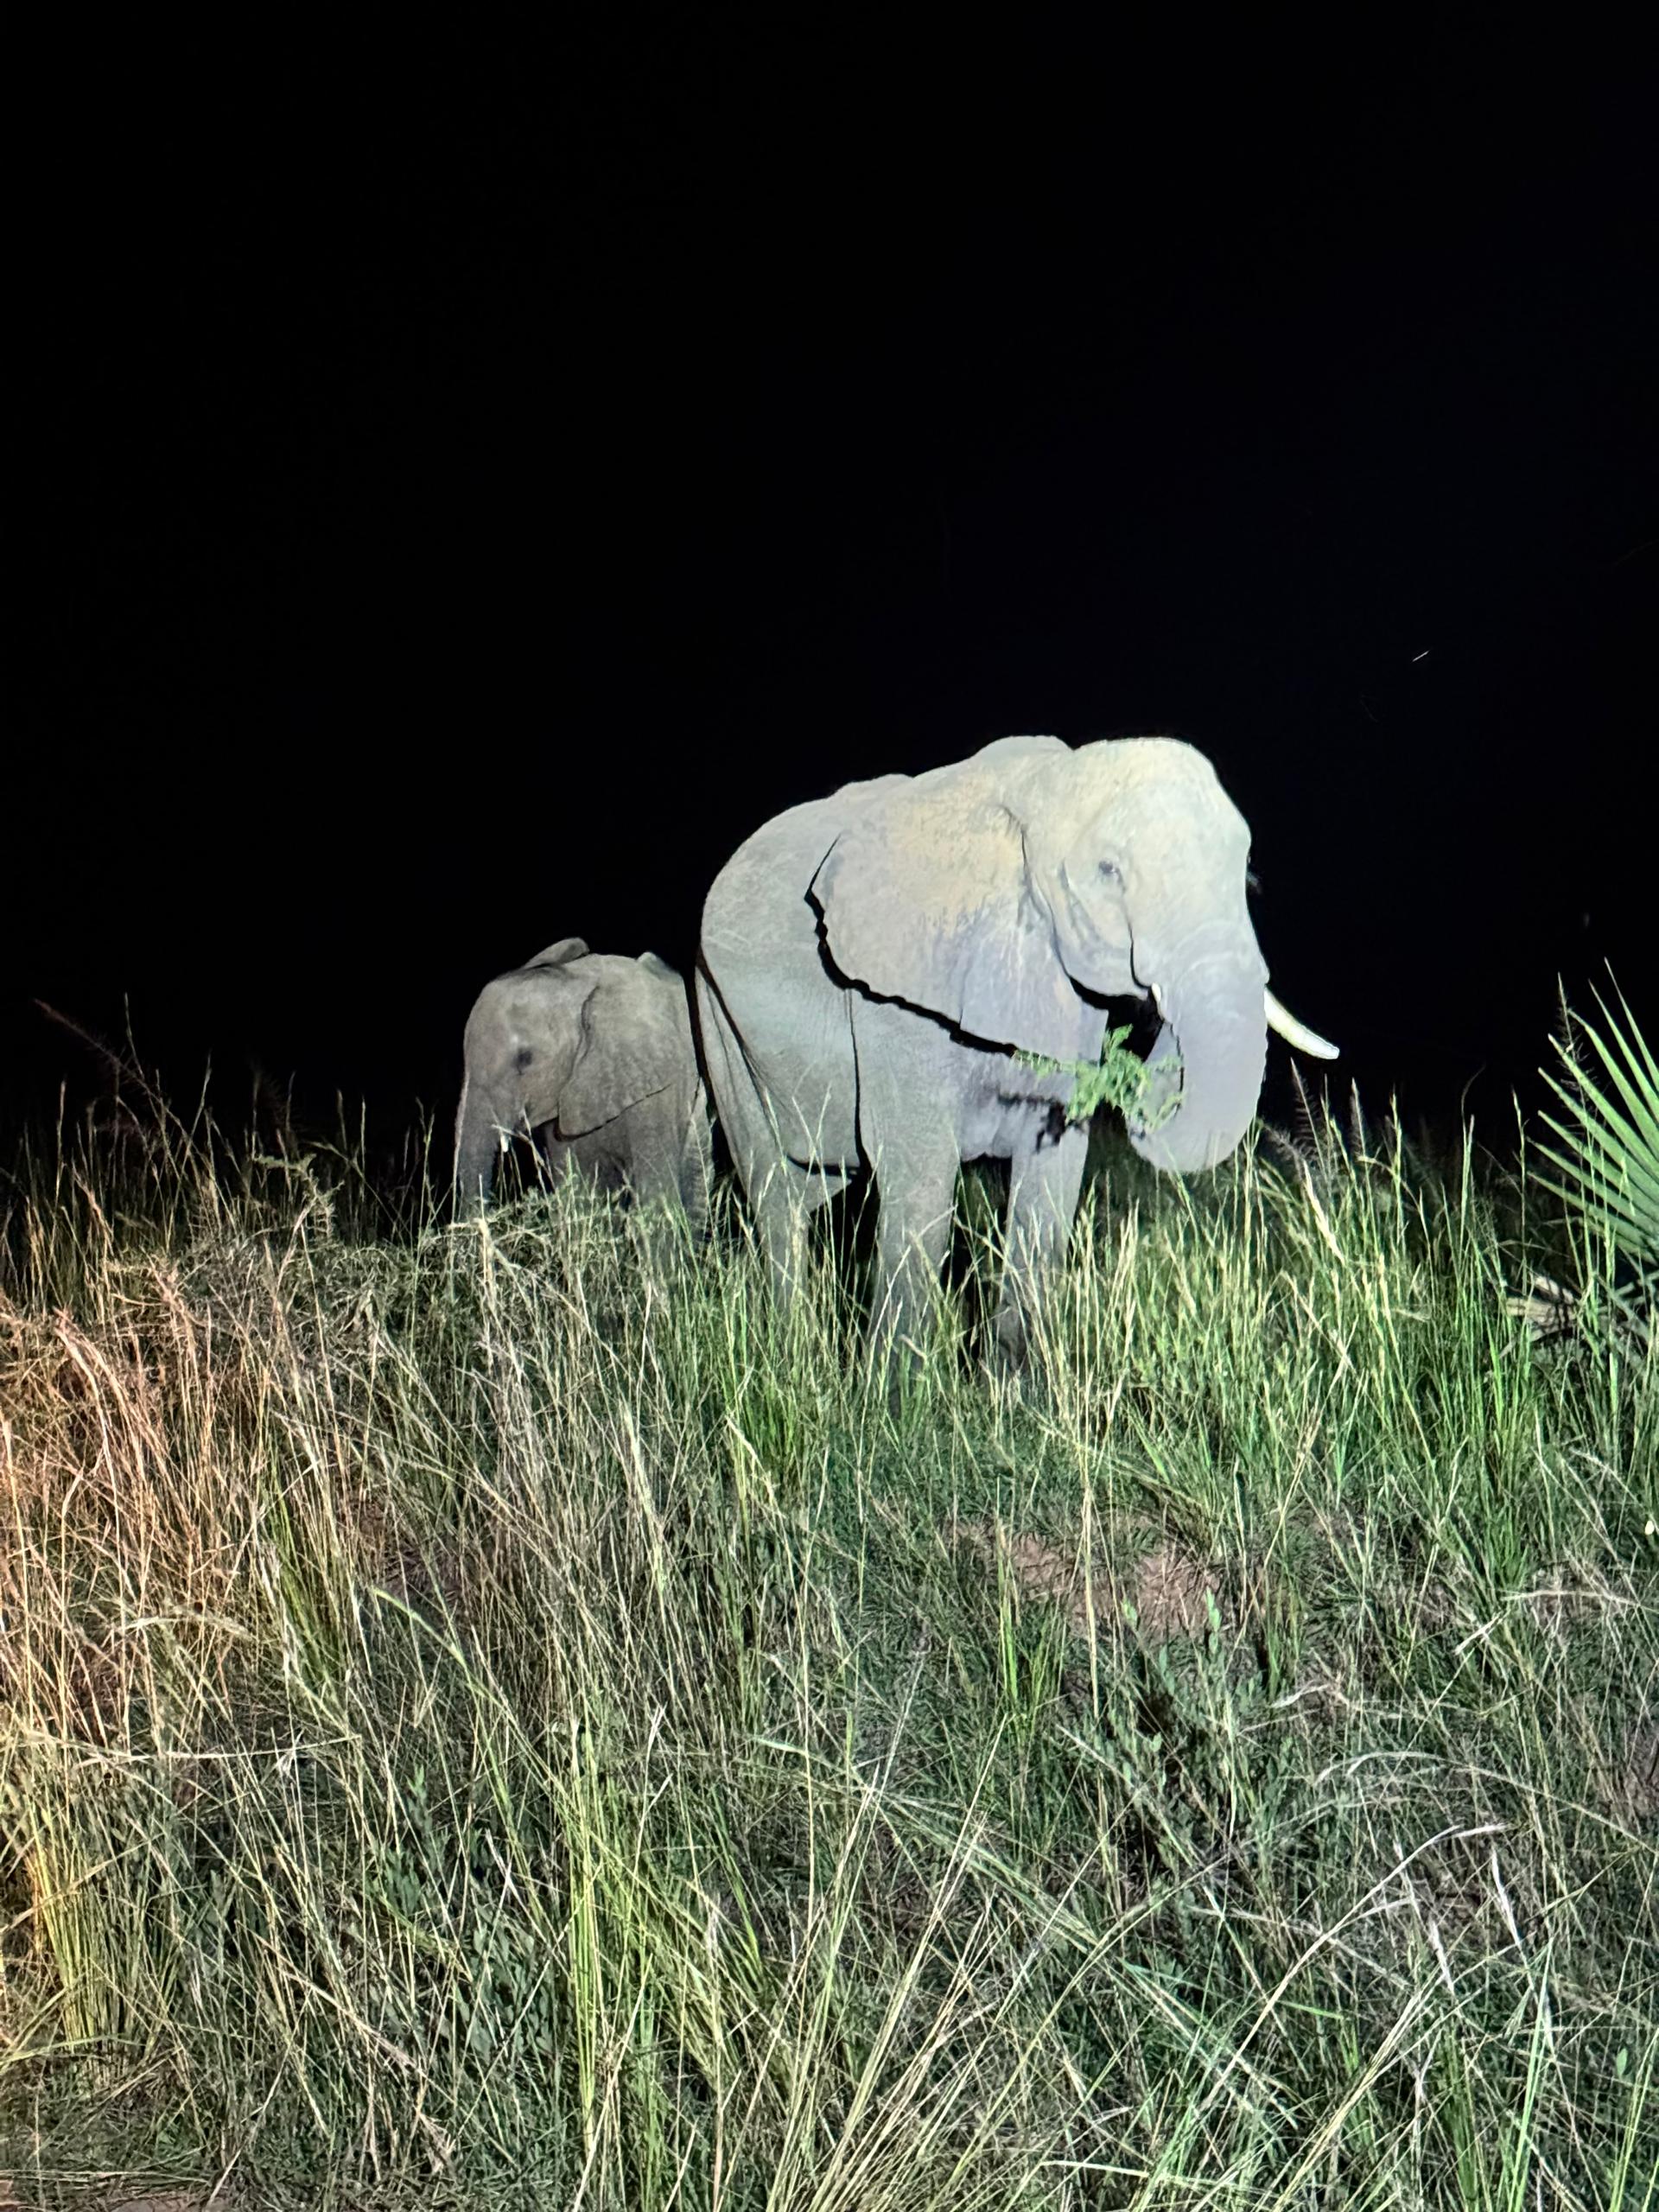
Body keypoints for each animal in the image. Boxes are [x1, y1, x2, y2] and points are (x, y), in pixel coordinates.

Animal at [696, 734, 1336, 1365]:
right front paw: (893, 1395)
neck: (1041, 788)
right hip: (716, 1017)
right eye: (1109, 871)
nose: (1151, 1008)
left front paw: (1013, 1390)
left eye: (1245, 869)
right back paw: (791, 1354)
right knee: (774, 1196)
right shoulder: (891, 1004)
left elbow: (1049, 1190)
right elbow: (922, 1186)